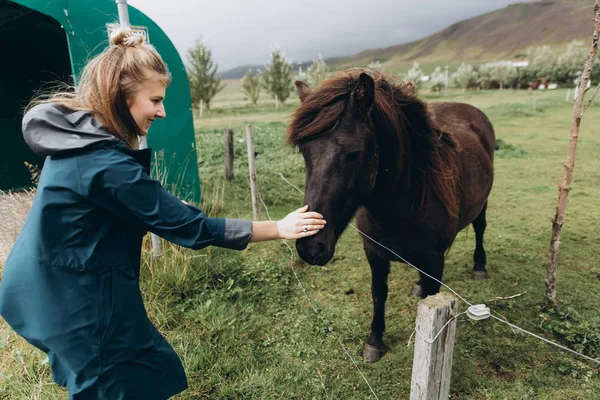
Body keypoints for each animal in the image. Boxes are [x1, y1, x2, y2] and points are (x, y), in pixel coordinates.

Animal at [288, 69, 494, 362]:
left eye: (354, 153)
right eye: (305, 151)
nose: (310, 248)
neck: (402, 207)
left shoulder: (435, 261)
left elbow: (432, 305)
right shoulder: (374, 254)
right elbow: (379, 294)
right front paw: (374, 340)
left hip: (482, 204)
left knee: (480, 228)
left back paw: (479, 267)